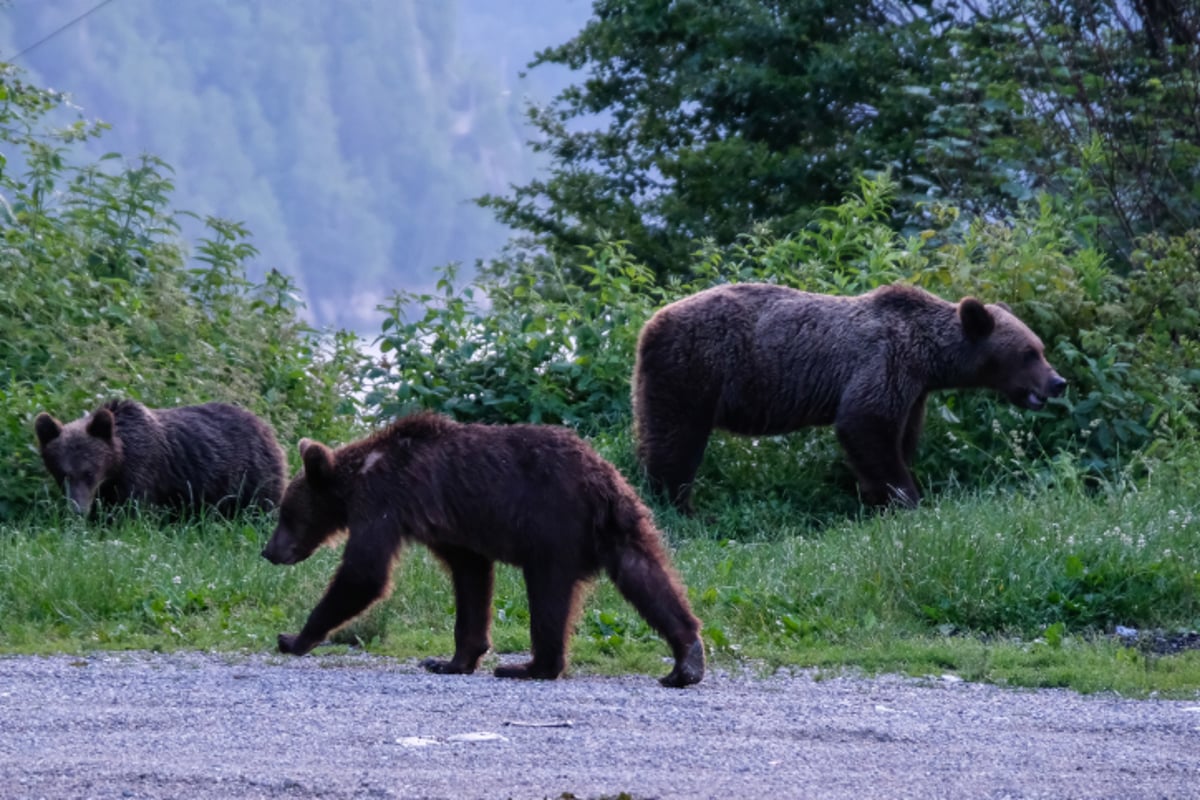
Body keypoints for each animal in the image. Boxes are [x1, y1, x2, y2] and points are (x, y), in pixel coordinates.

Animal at [35, 400, 288, 520]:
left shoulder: (142, 470)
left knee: (260, 508)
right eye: (63, 474)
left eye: (89, 472)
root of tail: (266, 426)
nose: (77, 509)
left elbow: (133, 511)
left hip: (251, 475)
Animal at [262, 412, 705, 690]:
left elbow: (364, 573)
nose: (269, 551)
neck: (356, 478)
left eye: (286, 512)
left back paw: (529, 666)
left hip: (553, 526)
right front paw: (449, 660)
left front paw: (294, 637)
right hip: (620, 522)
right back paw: (686, 659)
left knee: (547, 593)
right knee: (645, 575)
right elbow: (470, 575)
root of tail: (600, 478)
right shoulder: (450, 527)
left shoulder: (384, 501)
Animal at [633, 283, 1065, 513]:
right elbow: (866, 425)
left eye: (1040, 349)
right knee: (676, 439)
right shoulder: (883, 363)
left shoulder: (914, 391)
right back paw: (680, 506)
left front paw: (878, 499)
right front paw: (905, 497)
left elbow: (899, 437)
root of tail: (650, 323)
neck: (928, 357)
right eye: (1028, 352)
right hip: (693, 370)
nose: (1057, 382)